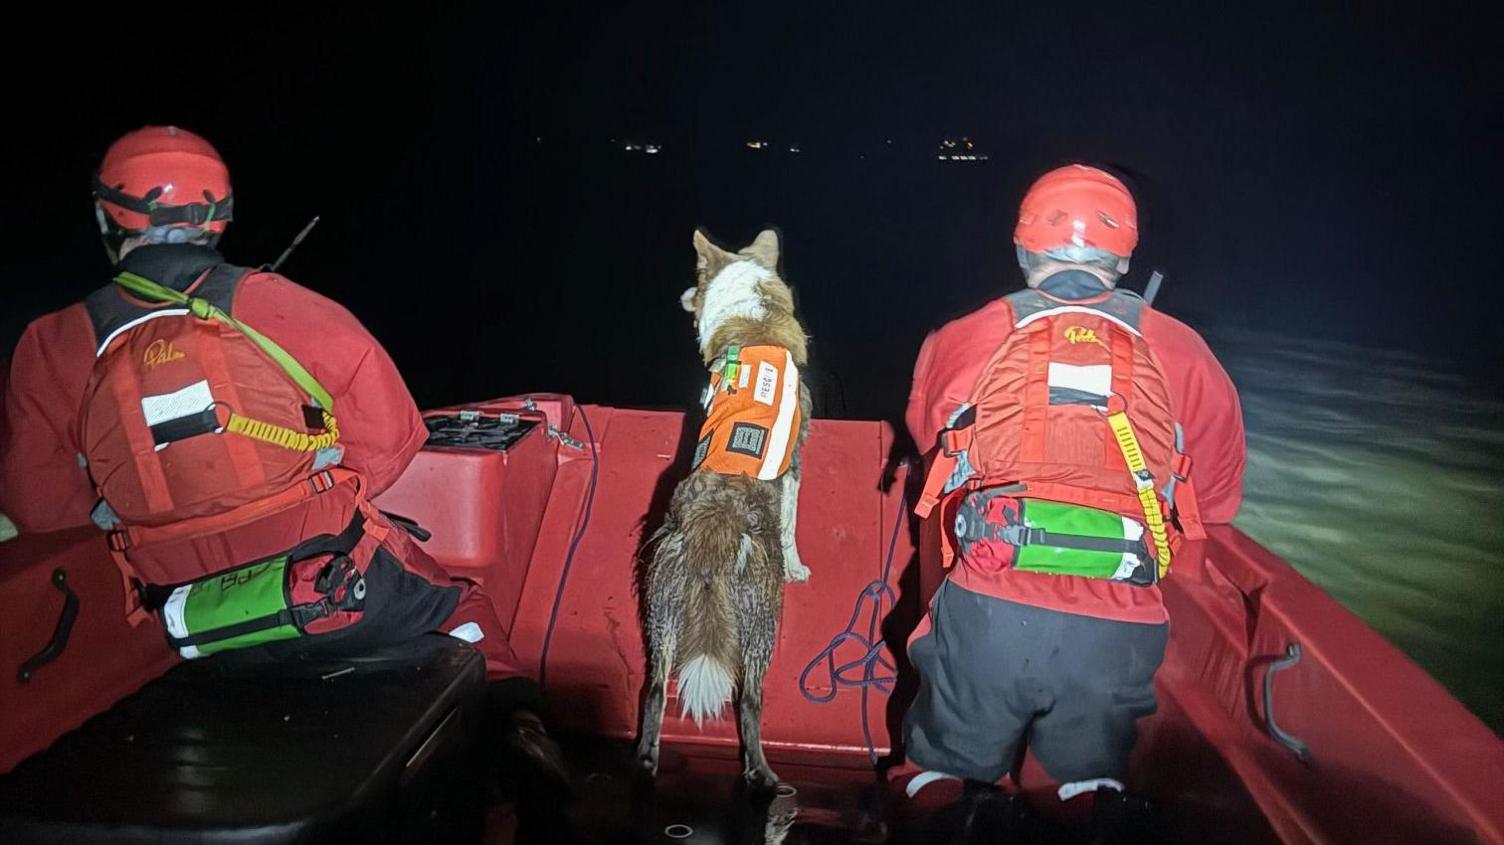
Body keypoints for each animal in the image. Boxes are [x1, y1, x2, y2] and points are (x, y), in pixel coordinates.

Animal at [634, 227, 812, 787]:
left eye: (695, 276)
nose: (681, 296)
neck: (754, 319)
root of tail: (716, 523)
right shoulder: (795, 465)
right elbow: (792, 524)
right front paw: (799, 567)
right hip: (761, 623)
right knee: (750, 701)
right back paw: (764, 777)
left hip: (661, 610)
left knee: (653, 691)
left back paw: (646, 764)